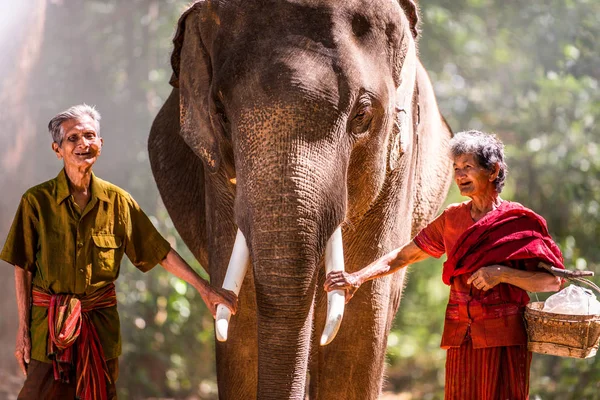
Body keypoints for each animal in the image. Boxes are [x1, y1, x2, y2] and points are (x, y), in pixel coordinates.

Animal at [148, 1, 452, 398]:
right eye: (221, 115)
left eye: (362, 115)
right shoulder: (216, 177)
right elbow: (244, 312)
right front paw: (232, 306)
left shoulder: (398, 170)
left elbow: (360, 326)